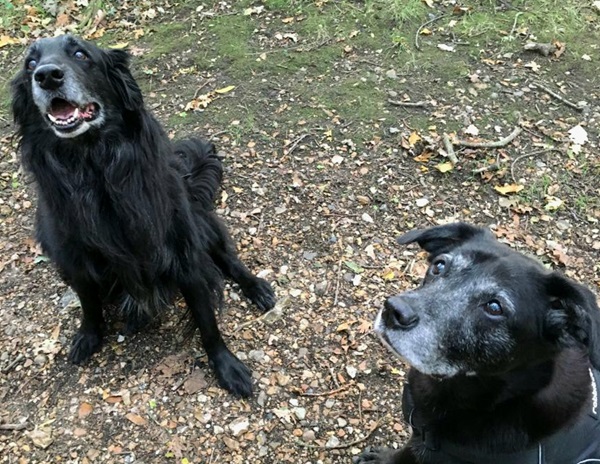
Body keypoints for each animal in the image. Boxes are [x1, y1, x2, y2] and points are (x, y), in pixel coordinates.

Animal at [11, 34, 276, 396]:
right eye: (30, 64)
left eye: (80, 54)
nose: (47, 76)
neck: (93, 168)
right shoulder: (75, 261)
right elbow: (89, 305)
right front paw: (89, 336)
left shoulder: (185, 255)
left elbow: (207, 321)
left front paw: (226, 366)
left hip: (202, 223)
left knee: (228, 259)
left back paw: (256, 288)